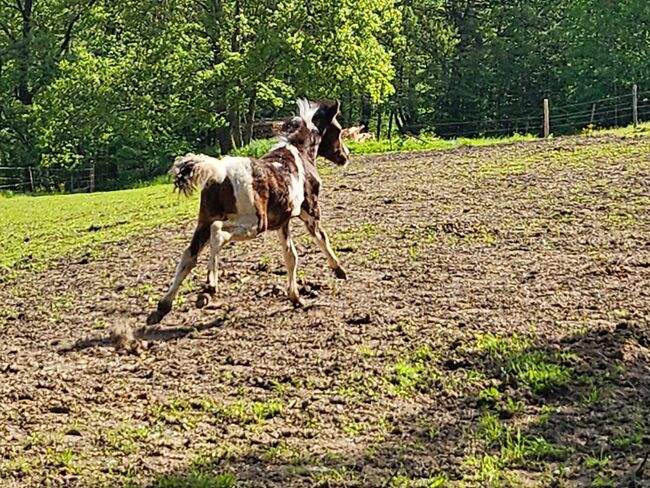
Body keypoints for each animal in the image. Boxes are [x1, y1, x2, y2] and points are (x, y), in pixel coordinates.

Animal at [147, 98, 350, 324]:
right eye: (338, 130)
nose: (345, 156)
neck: (299, 155)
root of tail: (219, 172)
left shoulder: (282, 223)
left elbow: (291, 256)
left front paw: (296, 298)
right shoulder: (310, 212)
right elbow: (321, 238)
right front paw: (339, 270)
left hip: (204, 222)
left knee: (188, 256)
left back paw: (163, 306)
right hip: (254, 223)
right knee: (218, 233)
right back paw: (209, 288)